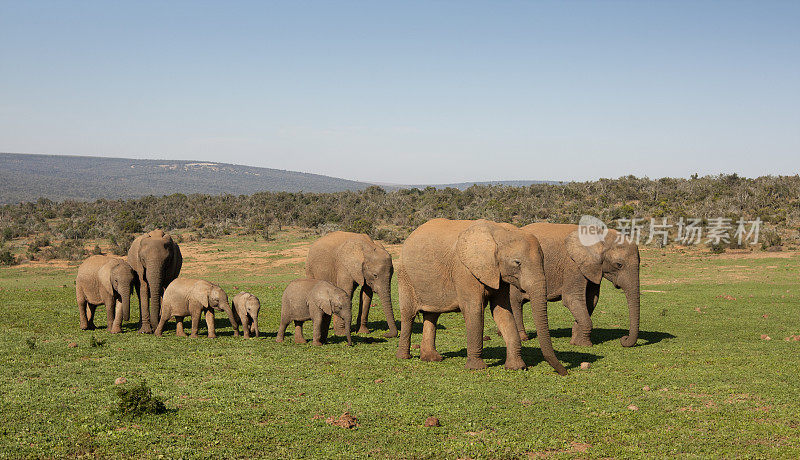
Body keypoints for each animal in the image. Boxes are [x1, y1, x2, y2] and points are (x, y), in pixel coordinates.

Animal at [396, 218, 564, 374]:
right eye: (517, 262)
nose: (564, 372)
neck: (500, 232)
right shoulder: (464, 270)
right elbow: (474, 310)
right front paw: (476, 368)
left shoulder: (498, 273)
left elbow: (502, 311)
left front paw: (517, 367)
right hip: (404, 276)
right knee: (408, 314)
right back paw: (404, 357)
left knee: (432, 315)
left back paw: (431, 358)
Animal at [510, 225, 640, 346]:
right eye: (619, 265)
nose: (624, 339)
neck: (599, 234)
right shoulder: (573, 264)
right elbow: (571, 298)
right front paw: (585, 344)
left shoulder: (592, 268)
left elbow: (591, 299)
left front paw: (576, 341)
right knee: (516, 303)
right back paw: (523, 338)